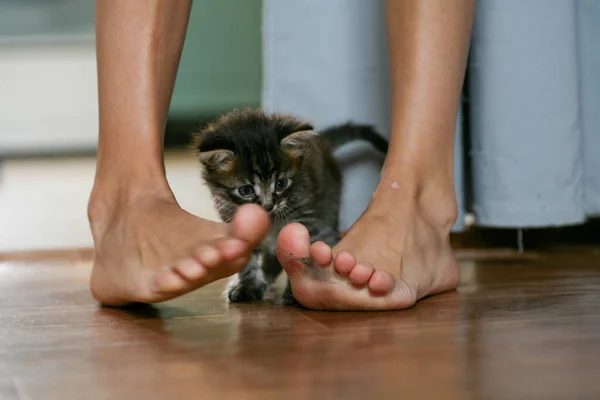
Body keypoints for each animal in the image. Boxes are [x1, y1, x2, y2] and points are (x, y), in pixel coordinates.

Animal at [193, 108, 390, 304]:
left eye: (280, 184)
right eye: (246, 190)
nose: (268, 206)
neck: (270, 220)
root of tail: (322, 141)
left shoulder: (307, 220)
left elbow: (300, 257)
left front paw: (295, 292)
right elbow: (248, 262)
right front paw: (248, 286)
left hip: (328, 206)